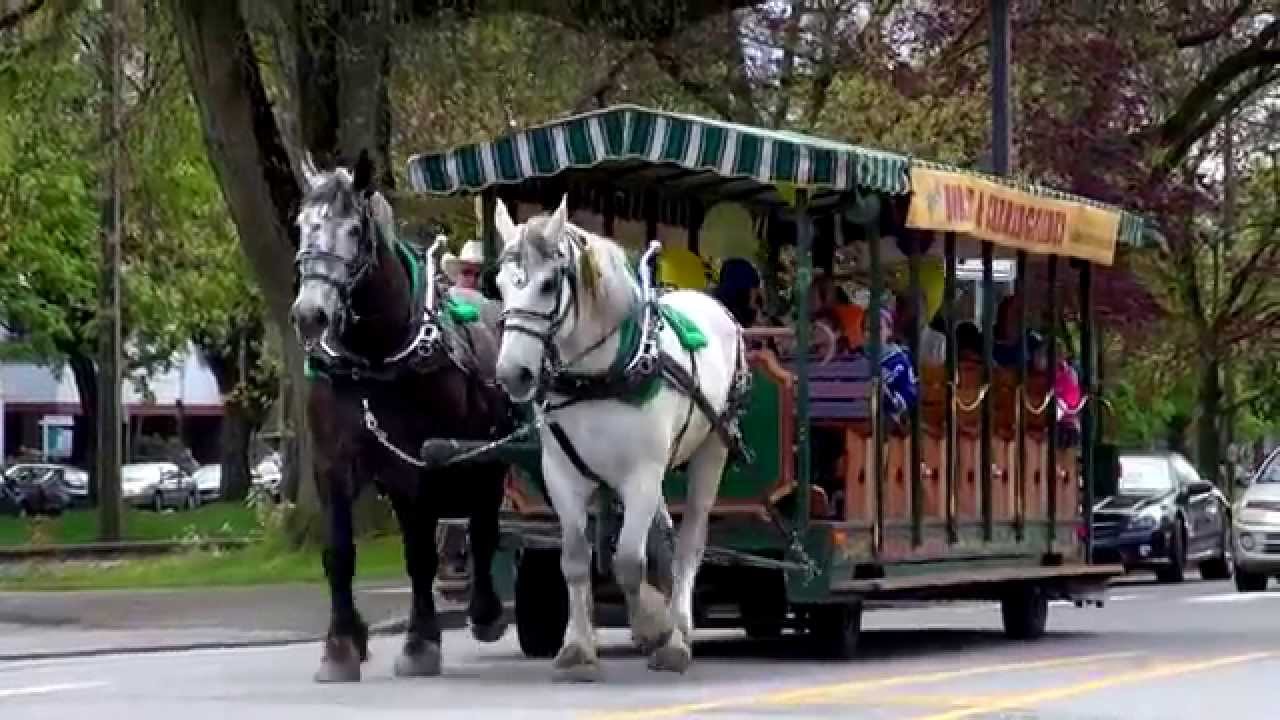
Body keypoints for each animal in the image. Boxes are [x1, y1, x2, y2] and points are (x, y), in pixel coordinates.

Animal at [290, 149, 509, 676]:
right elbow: (339, 553)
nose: (310, 315)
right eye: (302, 225)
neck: (374, 359)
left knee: (483, 525)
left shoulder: (418, 464)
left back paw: (485, 611)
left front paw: (420, 641)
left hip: (484, 460)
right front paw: (341, 644)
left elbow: (419, 555)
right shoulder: (331, 464)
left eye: (353, 229)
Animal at [491, 194, 747, 676]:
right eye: (500, 285)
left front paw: (655, 629)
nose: (512, 374)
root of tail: (714, 306)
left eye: (548, 285)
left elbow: (629, 560)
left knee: (689, 542)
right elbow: (575, 559)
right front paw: (577, 645)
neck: (599, 375)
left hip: (711, 449)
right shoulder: (561, 474)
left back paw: (678, 631)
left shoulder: (642, 474)